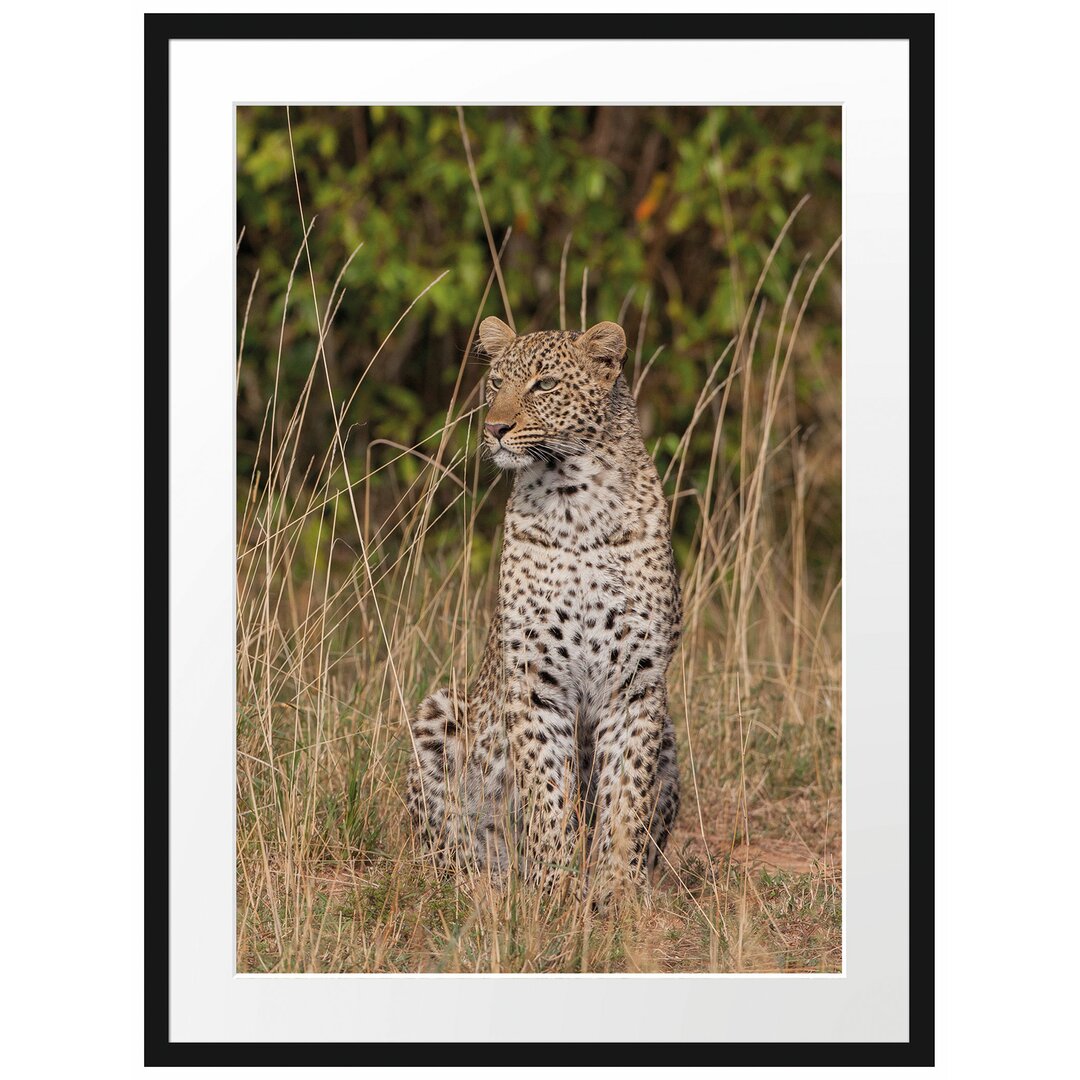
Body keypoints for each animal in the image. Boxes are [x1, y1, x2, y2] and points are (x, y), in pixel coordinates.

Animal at [408, 315, 678, 902]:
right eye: (495, 383)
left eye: (545, 385)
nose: (494, 428)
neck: (575, 503)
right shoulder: (535, 680)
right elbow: (546, 791)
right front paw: (553, 888)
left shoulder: (637, 683)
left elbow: (626, 798)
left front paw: (616, 893)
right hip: (438, 711)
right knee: (444, 844)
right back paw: (482, 885)